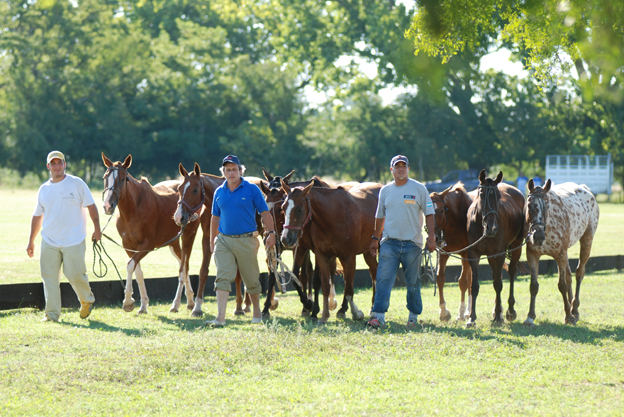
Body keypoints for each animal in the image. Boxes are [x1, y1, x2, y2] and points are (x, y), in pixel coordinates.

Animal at [282, 180, 382, 322]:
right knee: (374, 272)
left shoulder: (348, 257)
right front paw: (324, 314)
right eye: (283, 207)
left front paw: (355, 313)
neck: (334, 216)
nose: (285, 238)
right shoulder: (321, 255)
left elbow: (349, 288)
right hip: (369, 252)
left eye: (299, 209)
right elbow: (324, 285)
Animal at [428, 180, 478, 320]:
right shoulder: (443, 252)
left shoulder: (466, 253)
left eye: (440, 210)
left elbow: (463, 281)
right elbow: (440, 278)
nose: (434, 238)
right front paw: (443, 312)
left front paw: (460, 313)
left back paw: (467, 311)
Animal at [466, 171, 524, 326]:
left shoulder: (498, 254)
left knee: (511, 272)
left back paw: (509, 311)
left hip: (516, 247)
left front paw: (498, 316)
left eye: (498, 196)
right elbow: (474, 286)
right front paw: (471, 318)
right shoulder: (473, 255)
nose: (492, 228)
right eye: (481, 194)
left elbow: (498, 284)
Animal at [528, 177, 600, 324]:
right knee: (569, 276)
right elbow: (534, 286)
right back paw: (572, 309)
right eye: (529, 205)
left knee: (579, 273)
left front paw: (568, 315)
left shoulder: (560, 255)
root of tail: (586, 189)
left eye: (547, 205)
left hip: (587, 241)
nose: (538, 236)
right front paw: (530, 316)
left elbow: (562, 285)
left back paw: (575, 309)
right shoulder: (532, 255)